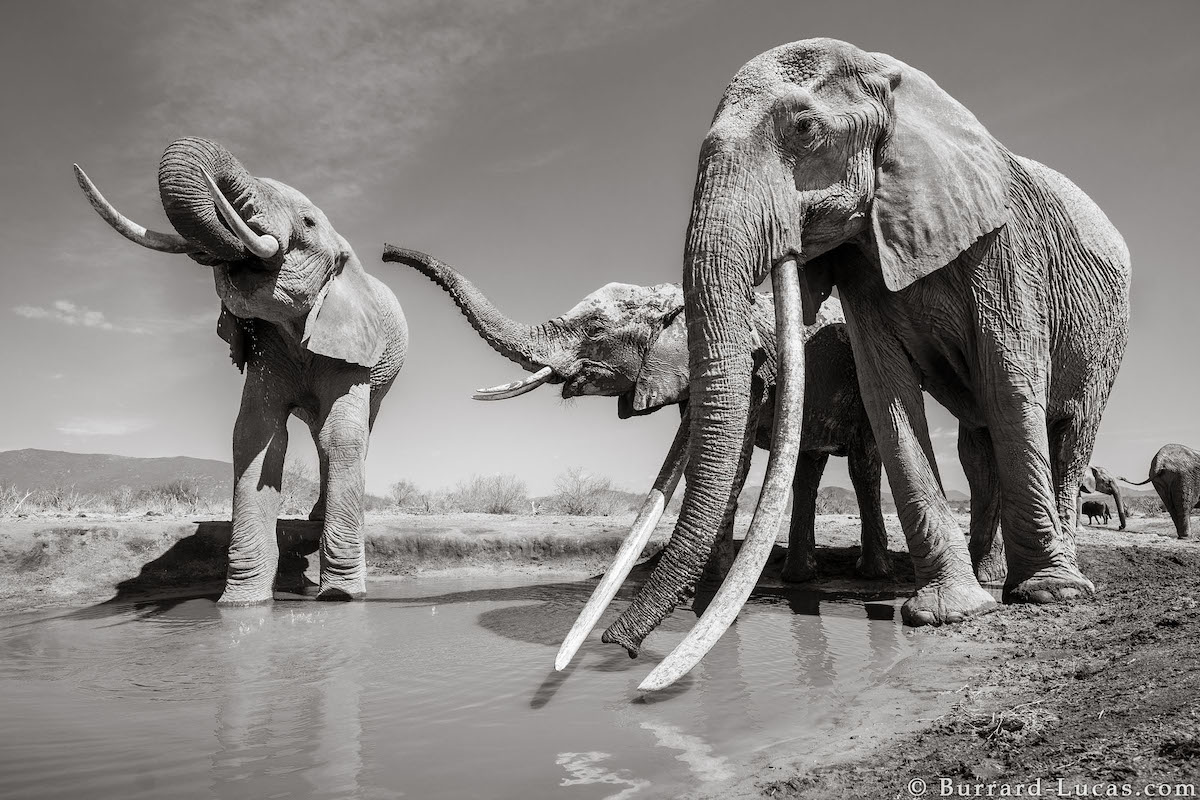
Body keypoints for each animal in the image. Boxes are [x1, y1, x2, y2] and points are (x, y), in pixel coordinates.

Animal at [73, 137, 408, 604]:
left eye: (307, 222)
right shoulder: (266, 349)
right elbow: (257, 434)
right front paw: (242, 603)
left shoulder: (351, 347)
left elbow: (342, 435)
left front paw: (341, 597)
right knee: (316, 432)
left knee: (345, 433)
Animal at [381, 244, 892, 594]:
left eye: (595, 331)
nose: (385, 251)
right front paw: (704, 584)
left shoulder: (751, 370)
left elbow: (729, 462)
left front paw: (705, 585)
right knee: (808, 466)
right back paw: (798, 579)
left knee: (863, 463)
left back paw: (872, 573)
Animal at [595, 37, 1128, 690]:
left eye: (803, 128)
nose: (616, 650)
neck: (895, 80)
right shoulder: (862, 262)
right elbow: (886, 392)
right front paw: (950, 612)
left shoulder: (1006, 248)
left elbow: (1010, 380)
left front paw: (1046, 598)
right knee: (977, 448)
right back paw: (988, 575)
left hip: (1107, 338)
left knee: (1070, 429)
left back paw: (1054, 581)